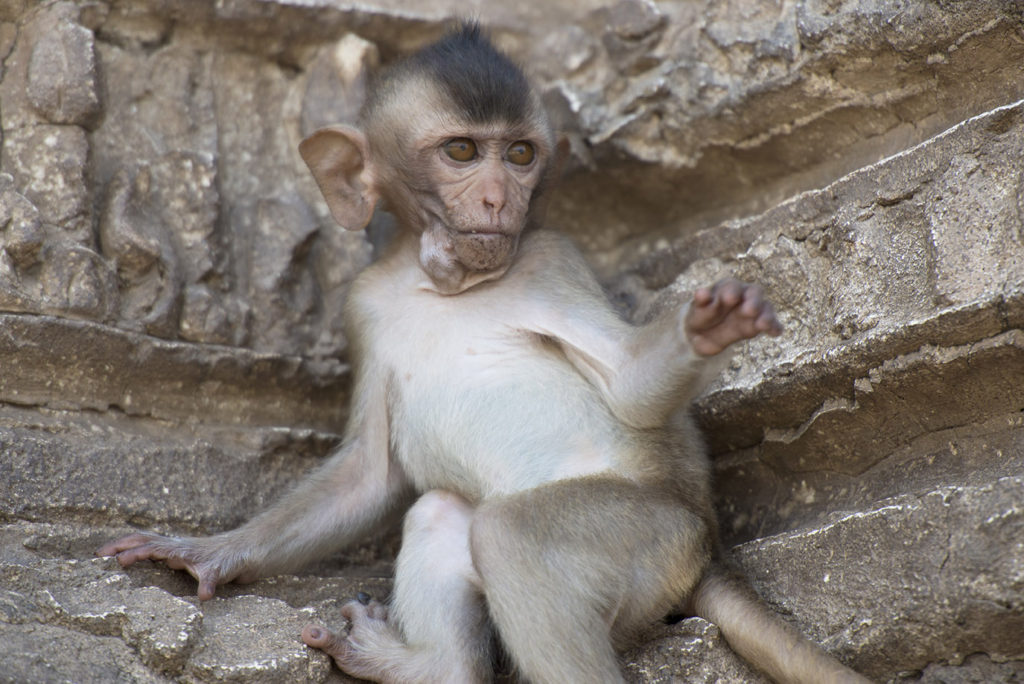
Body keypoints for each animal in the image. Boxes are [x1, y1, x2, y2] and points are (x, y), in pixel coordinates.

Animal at [97, 24, 864, 684]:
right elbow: (370, 473)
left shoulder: (553, 259)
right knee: (444, 513)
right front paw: (207, 552)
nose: (498, 198)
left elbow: (628, 388)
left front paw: (710, 327)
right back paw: (428, 666)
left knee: (512, 537)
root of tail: (709, 547)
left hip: (657, 542)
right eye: (462, 152)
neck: (442, 282)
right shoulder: (362, 306)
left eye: (520, 155)